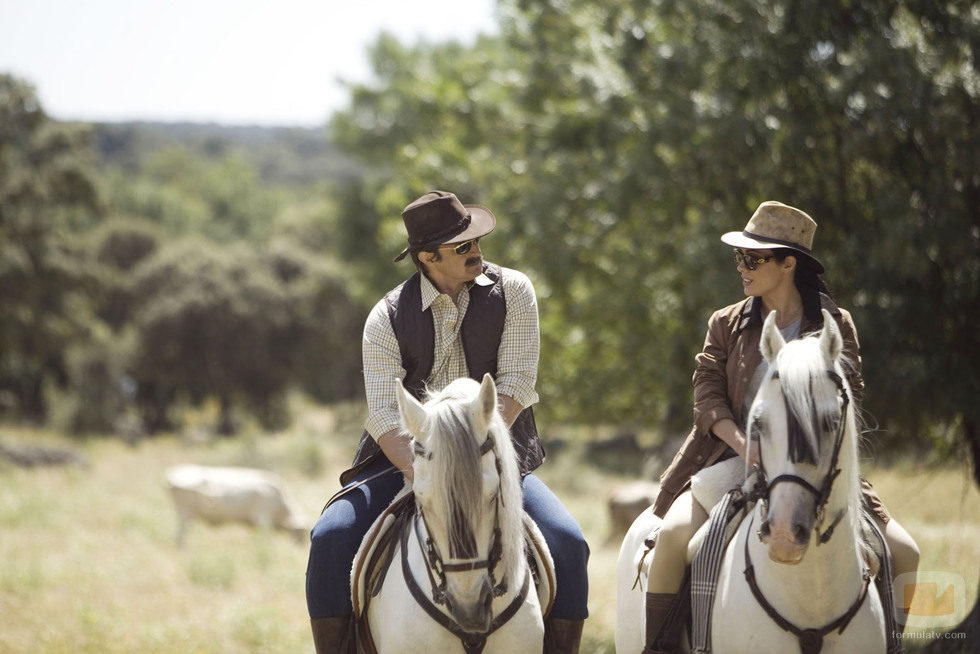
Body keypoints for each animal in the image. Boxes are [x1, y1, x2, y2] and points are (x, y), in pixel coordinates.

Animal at [165, 464, 308, 552]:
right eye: (299, 533)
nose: (300, 547)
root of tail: (171, 476)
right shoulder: (262, 518)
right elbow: (267, 540)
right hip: (185, 512)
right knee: (179, 537)